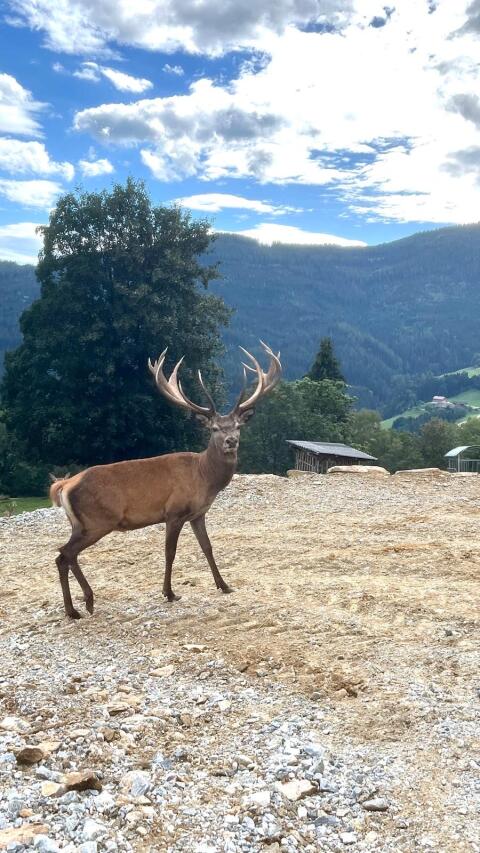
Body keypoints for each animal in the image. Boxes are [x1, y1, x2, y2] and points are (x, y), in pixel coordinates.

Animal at [50, 341, 281, 619]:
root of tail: (65, 485)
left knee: (65, 555)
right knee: (64, 553)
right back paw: (78, 606)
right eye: (214, 428)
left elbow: (208, 547)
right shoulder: (174, 511)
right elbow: (170, 552)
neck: (204, 478)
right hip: (98, 520)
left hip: (80, 524)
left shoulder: (198, 514)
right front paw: (169, 593)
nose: (231, 441)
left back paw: (81, 604)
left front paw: (224, 585)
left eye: (238, 426)